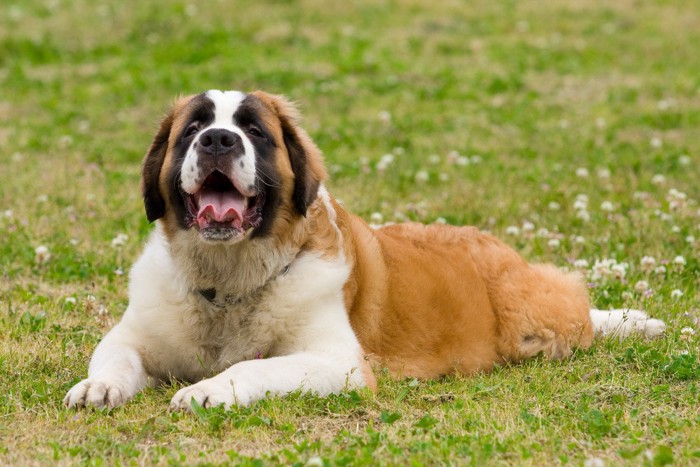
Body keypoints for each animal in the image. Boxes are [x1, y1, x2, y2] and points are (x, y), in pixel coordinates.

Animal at [65, 89, 668, 412]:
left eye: (255, 132)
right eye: (193, 128)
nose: (217, 139)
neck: (230, 281)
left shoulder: (339, 365)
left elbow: (257, 367)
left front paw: (209, 389)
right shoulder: (135, 333)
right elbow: (114, 354)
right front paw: (99, 385)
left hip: (531, 320)